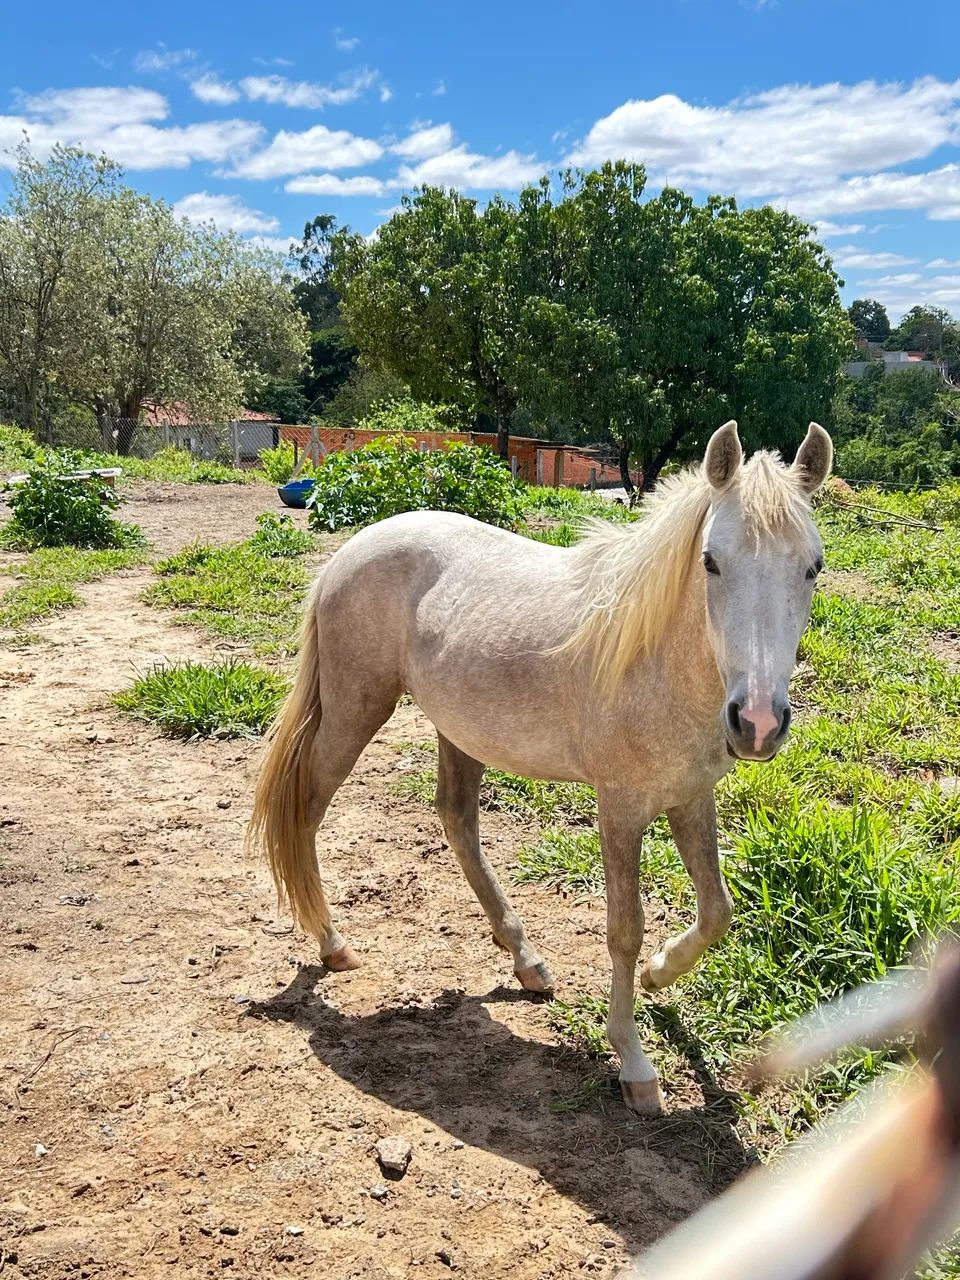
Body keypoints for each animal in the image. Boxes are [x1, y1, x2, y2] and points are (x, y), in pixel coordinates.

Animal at [249, 420, 833, 1117]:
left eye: (812, 566)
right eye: (711, 561)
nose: (758, 722)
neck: (654, 657)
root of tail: (351, 550)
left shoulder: (691, 798)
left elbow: (717, 911)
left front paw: (659, 973)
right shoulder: (621, 809)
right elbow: (624, 929)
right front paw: (633, 1061)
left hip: (459, 729)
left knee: (457, 821)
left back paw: (525, 961)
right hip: (354, 711)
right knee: (307, 811)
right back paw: (332, 943)